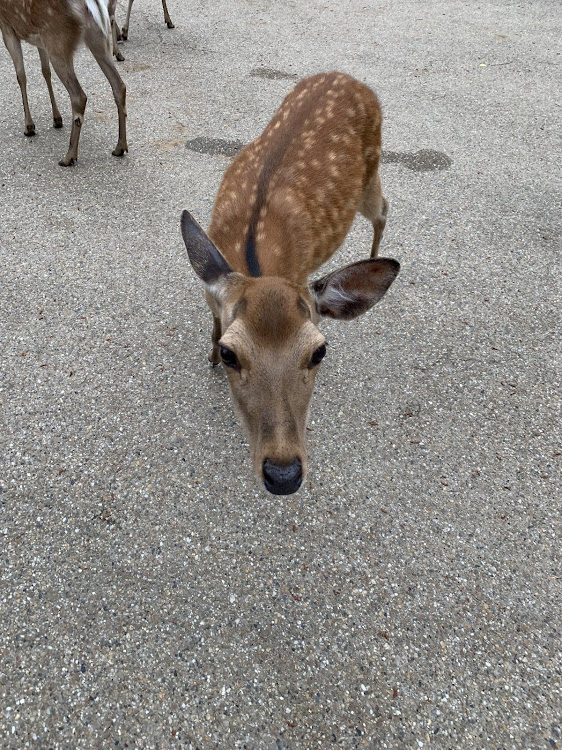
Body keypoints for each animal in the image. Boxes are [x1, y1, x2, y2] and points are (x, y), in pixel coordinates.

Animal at [0, 0, 127, 166]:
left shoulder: (6, 26)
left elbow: (21, 75)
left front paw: (29, 127)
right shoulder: (40, 39)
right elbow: (45, 71)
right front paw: (56, 119)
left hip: (58, 42)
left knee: (79, 96)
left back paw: (69, 156)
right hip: (98, 39)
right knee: (119, 85)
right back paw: (120, 147)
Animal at [182, 69, 400, 494]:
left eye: (319, 351)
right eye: (231, 353)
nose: (283, 474)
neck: (257, 262)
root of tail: (347, 76)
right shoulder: (209, 288)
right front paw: (209, 355)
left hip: (372, 171)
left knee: (384, 209)